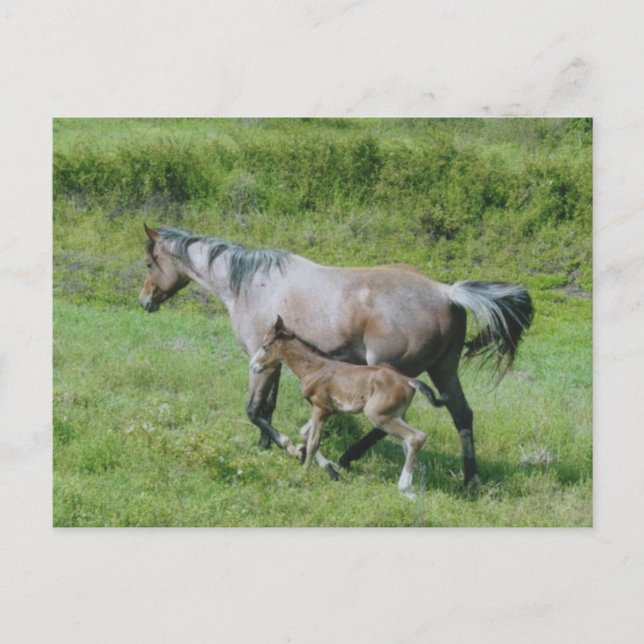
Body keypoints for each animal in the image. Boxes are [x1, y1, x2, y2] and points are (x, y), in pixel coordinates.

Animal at [250, 315, 447, 495]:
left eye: (265, 346)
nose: (253, 366)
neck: (314, 368)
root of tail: (409, 381)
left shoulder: (320, 408)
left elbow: (313, 441)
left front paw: (304, 472)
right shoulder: (331, 411)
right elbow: (305, 432)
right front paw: (325, 466)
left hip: (378, 415)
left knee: (416, 437)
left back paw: (404, 486)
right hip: (397, 415)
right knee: (407, 441)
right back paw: (413, 485)